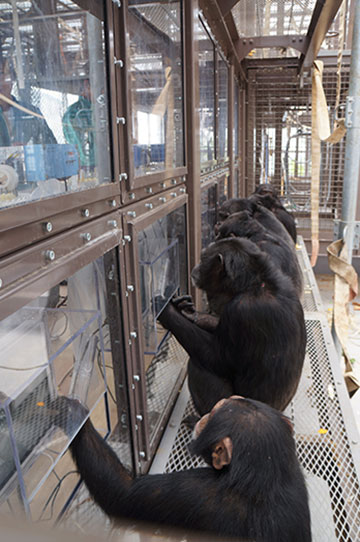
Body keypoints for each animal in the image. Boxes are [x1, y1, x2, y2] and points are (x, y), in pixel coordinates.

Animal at [54, 396, 310, 542]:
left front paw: (72, 414)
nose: (204, 415)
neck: (263, 474)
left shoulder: (191, 492)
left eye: (213, 415)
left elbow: (122, 496)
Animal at [156, 239, 306, 416]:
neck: (253, 284)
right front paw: (190, 312)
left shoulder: (240, 311)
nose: (195, 268)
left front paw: (167, 311)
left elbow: (217, 357)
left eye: (203, 258)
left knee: (198, 365)